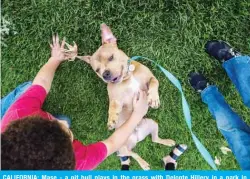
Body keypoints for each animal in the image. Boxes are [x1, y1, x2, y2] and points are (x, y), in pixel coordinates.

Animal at [71, 24, 176, 171]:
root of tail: (137, 136)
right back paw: (143, 163)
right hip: (122, 147)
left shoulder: (150, 77)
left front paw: (154, 98)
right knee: (132, 154)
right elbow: (113, 106)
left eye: (111, 57)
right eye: (97, 70)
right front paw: (112, 119)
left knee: (154, 139)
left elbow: (155, 82)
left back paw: (167, 142)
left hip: (153, 124)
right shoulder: (117, 99)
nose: (105, 74)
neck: (127, 77)